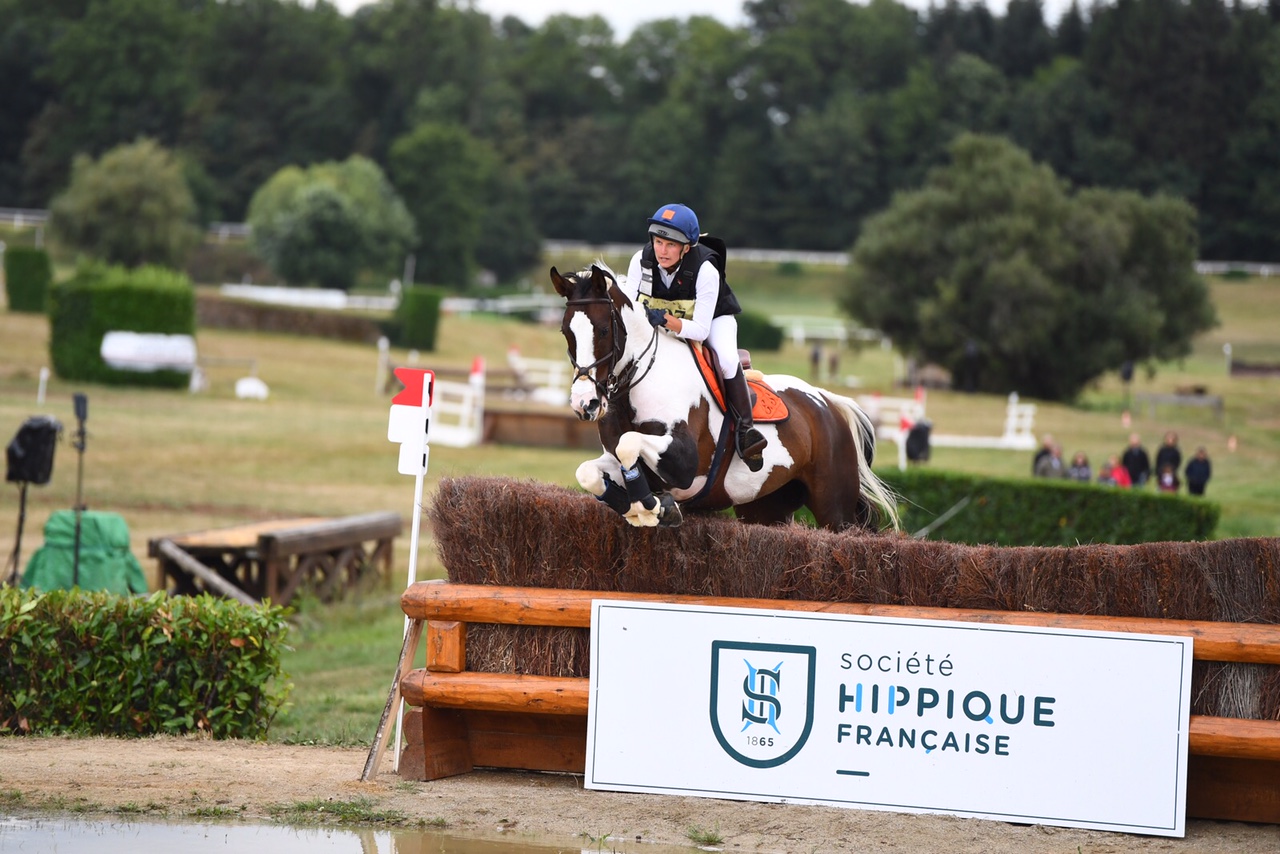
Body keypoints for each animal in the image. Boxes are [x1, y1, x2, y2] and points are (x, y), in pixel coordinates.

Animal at [550, 262, 901, 535]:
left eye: (603, 330)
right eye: (566, 333)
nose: (585, 404)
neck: (636, 384)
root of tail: (829, 402)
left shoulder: (684, 462)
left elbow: (629, 444)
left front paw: (653, 507)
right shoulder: (615, 459)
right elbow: (590, 471)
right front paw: (639, 508)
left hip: (834, 509)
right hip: (766, 507)